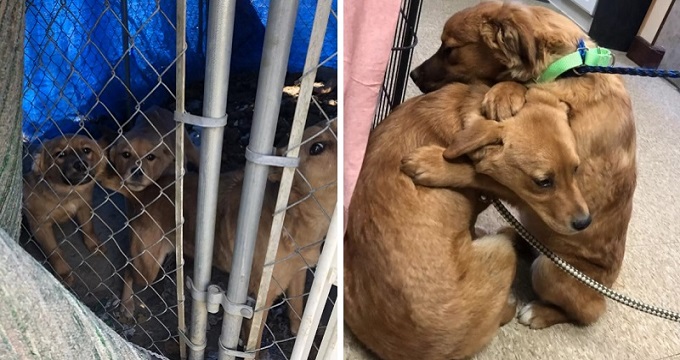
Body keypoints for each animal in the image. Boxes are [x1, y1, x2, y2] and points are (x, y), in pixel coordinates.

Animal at [22, 134, 107, 284]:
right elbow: (54, 251)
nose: (81, 165)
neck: (68, 193)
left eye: (86, 150)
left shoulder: (84, 205)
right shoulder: (40, 226)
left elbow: (88, 228)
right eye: (60, 154)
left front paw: (93, 245)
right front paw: (63, 272)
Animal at [117, 126, 340, 346]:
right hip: (147, 267)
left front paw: (298, 331)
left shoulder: (298, 275)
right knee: (127, 269)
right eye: (317, 147)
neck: (293, 217)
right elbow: (253, 347)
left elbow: (298, 313)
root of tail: (145, 192)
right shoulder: (258, 302)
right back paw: (126, 305)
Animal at [346, 82, 584, 360]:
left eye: (576, 169)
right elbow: (481, 178)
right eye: (543, 182)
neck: (461, 114)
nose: (585, 222)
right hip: (502, 250)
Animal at [406, 0, 636, 330]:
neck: (568, 69)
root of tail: (605, 289)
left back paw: (540, 312)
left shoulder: (540, 186)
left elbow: (476, 172)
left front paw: (435, 164)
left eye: (450, 49)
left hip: (549, 271)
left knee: (586, 313)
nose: (412, 74)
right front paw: (506, 92)